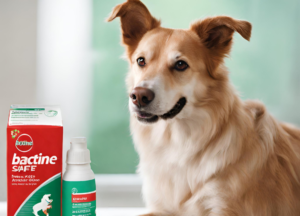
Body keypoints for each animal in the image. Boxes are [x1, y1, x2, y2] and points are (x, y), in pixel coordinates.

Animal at [108, 0, 300, 215]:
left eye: (181, 64)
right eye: (141, 61)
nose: (139, 96)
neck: (179, 141)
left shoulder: (224, 206)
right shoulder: (160, 207)